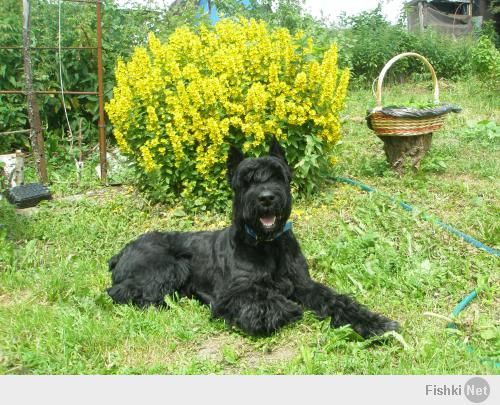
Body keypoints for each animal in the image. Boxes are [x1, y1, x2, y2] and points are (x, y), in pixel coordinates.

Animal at [108, 137, 398, 336]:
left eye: (278, 175)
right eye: (246, 180)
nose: (266, 198)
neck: (267, 245)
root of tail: (121, 252)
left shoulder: (304, 284)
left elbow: (337, 300)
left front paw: (374, 323)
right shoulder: (230, 294)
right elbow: (266, 300)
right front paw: (286, 306)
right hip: (172, 266)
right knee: (121, 291)